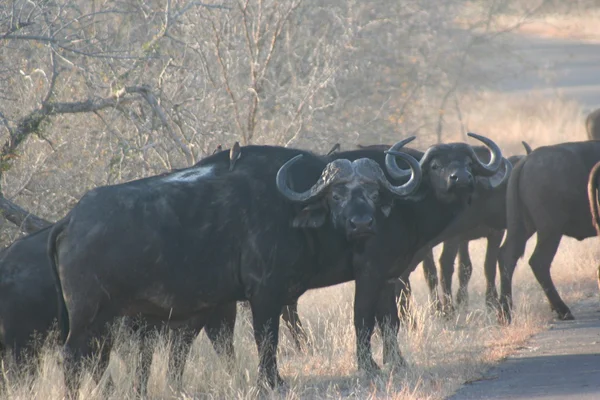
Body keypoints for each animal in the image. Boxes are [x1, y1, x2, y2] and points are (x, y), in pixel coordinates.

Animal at [48, 142, 422, 392]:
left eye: (373, 193)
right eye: (337, 195)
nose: (362, 224)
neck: (289, 211)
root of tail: (71, 220)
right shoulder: (264, 292)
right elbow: (266, 337)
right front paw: (271, 381)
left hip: (107, 318)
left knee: (94, 357)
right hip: (88, 315)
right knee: (73, 357)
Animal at [500, 140, 600, 322]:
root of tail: (527, 160)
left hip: (521, 226)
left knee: (507, 256)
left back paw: (505, 312)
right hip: (550, 230)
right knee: (539, 261)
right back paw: (563, 310)